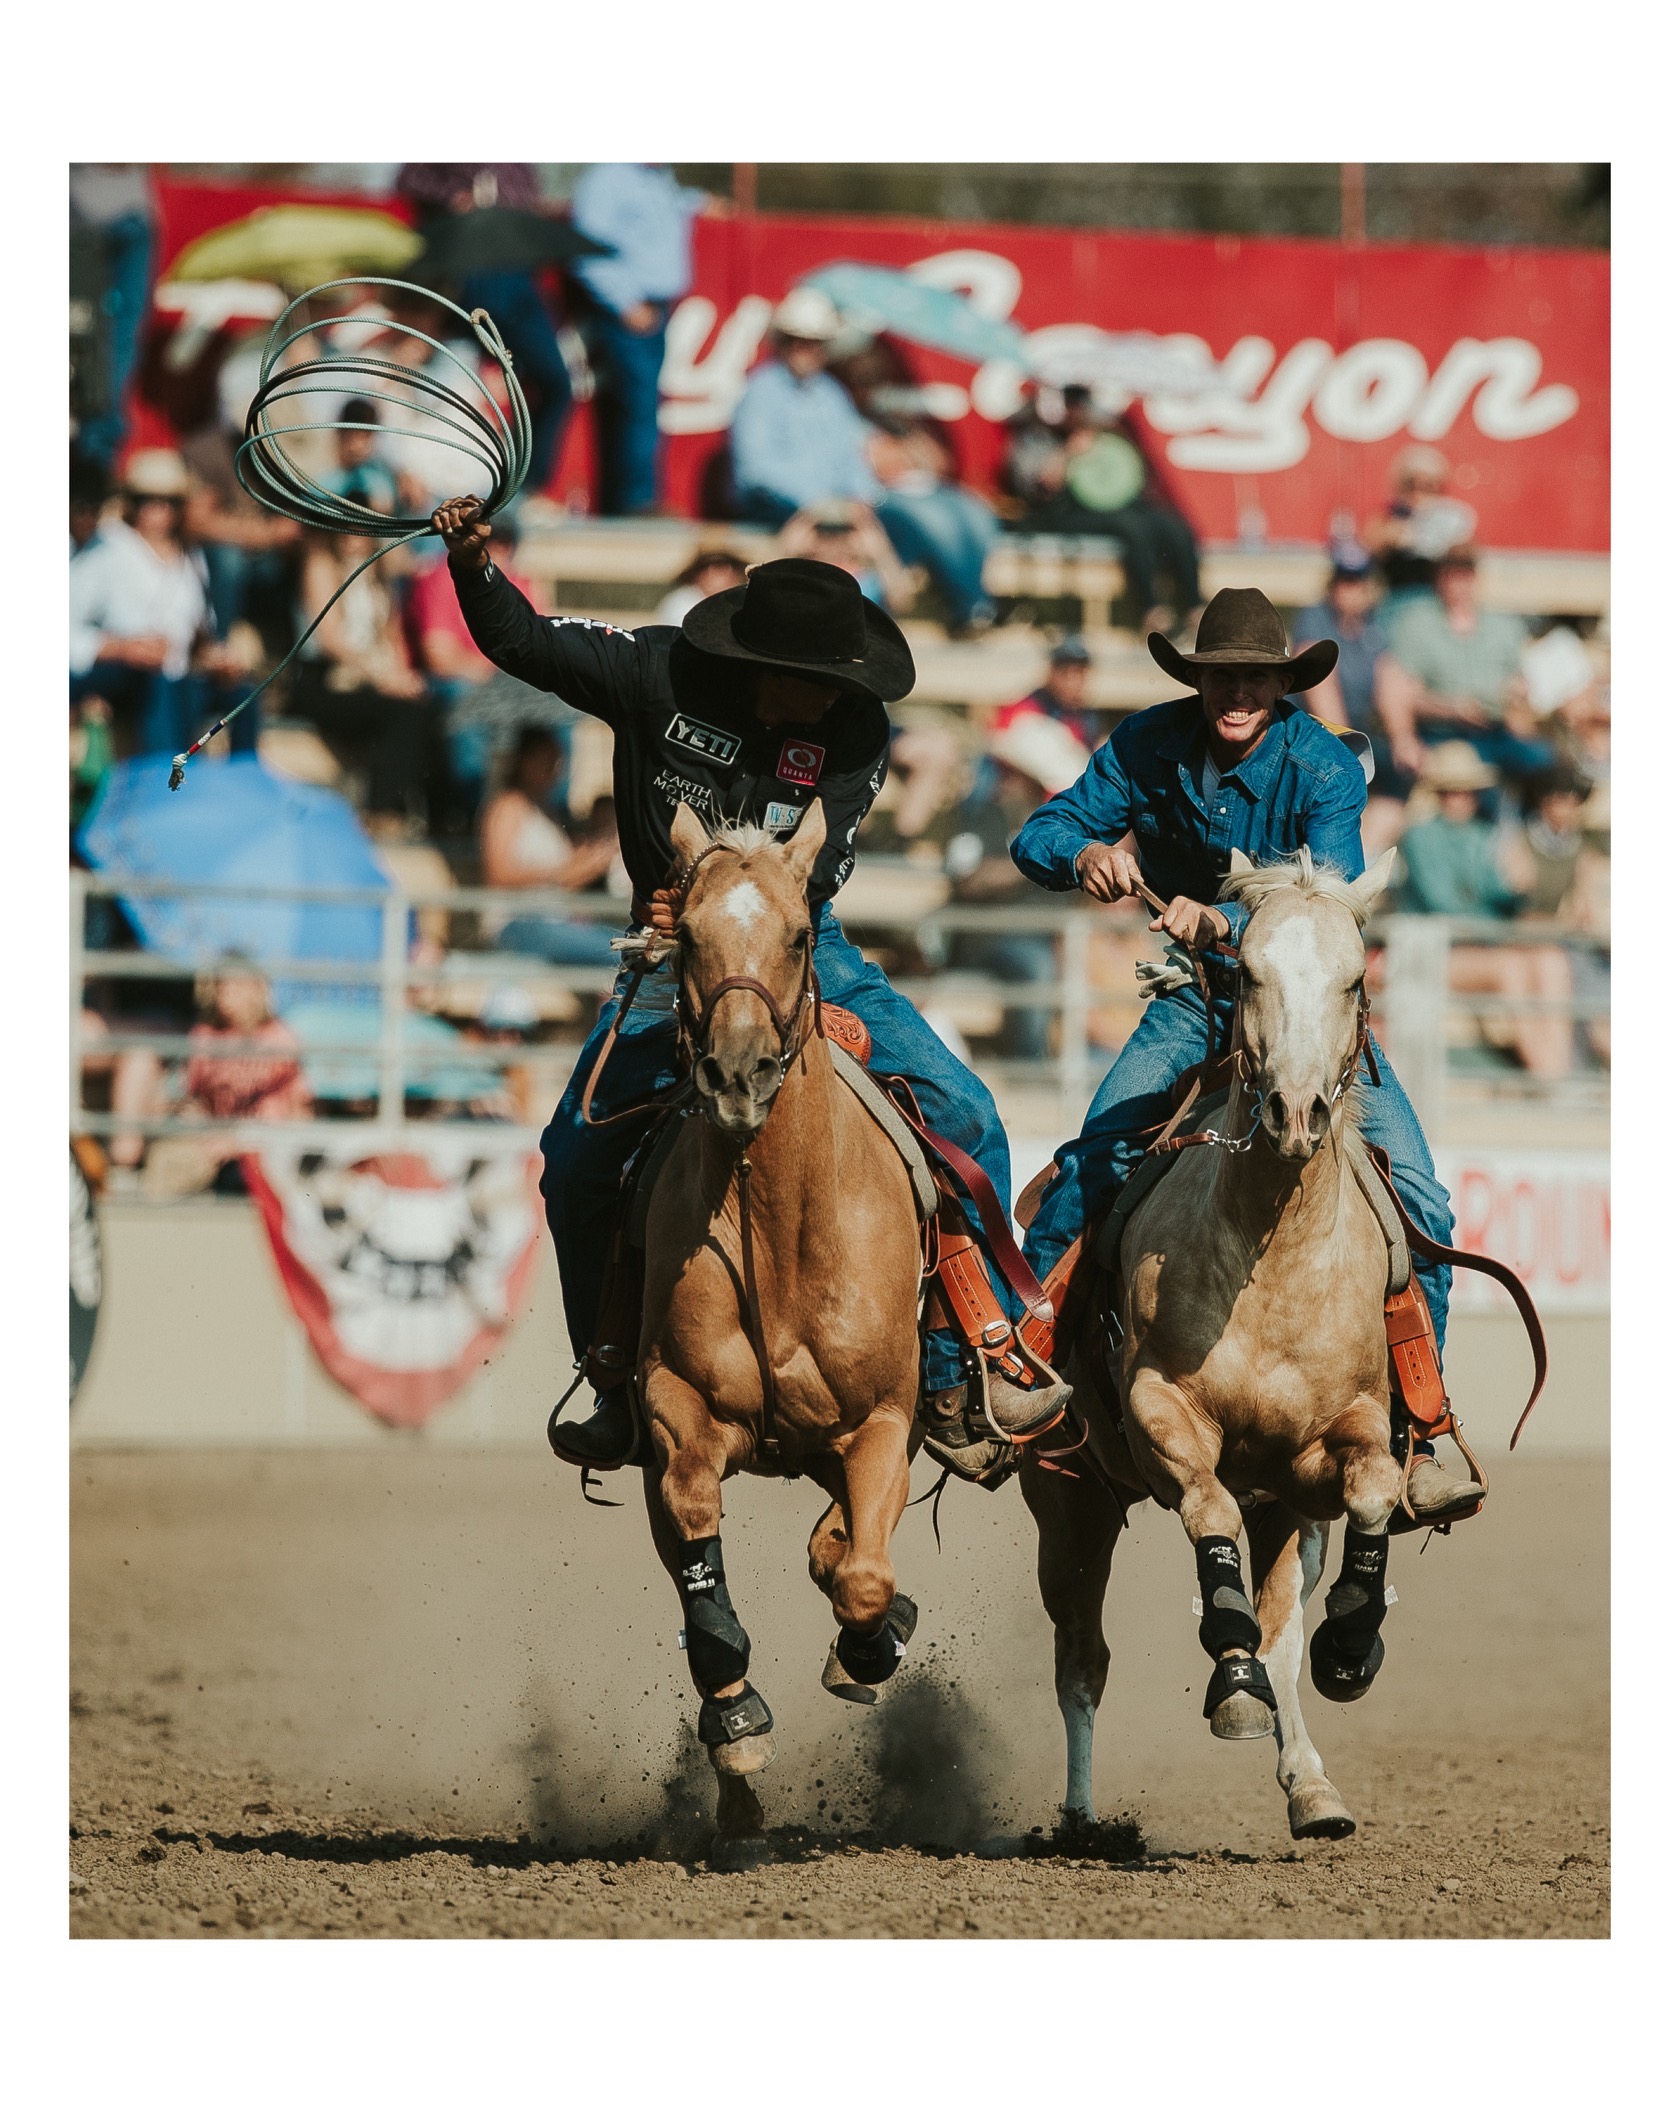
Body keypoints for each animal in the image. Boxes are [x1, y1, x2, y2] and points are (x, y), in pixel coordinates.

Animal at [1026, 849, 1404, 1841]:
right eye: (1251, 973)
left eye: (1355, 979)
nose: (1296, 1113)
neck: (1271, 1261)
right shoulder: (1162, 1412)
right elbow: (1210, 1515)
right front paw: (1227, 1677)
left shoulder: (1336, 1444)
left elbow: (1373, 1497)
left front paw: (1351, 1641)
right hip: (1068, 1503)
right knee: (1081, 1660)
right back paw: (1081, 1815)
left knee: (1278, 1633)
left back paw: (1312, 1786)